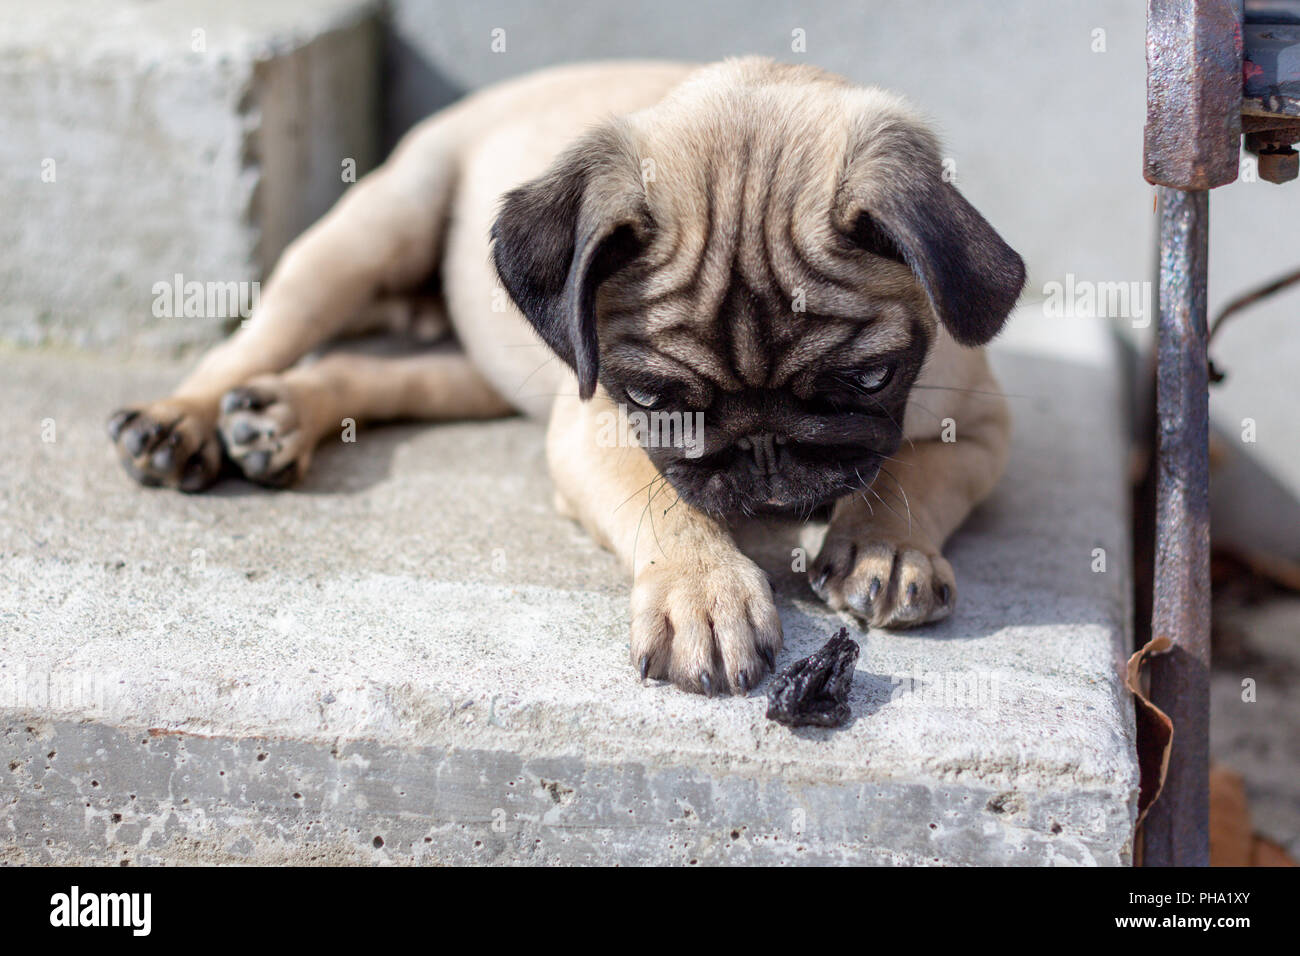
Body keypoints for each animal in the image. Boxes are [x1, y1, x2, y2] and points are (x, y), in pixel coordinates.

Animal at [109, 57, 1024, 697]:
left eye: (869, 380)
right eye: (651, 398)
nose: (763, 455)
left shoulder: (981, 430)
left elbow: (918, 474)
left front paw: (888, 547)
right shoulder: (594, 426)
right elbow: (664, 502)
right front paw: (704, 591)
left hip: (484, 362)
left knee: (378, 374)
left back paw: (278, 417)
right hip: (371, 233)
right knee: (259, 337)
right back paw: (183, 420)